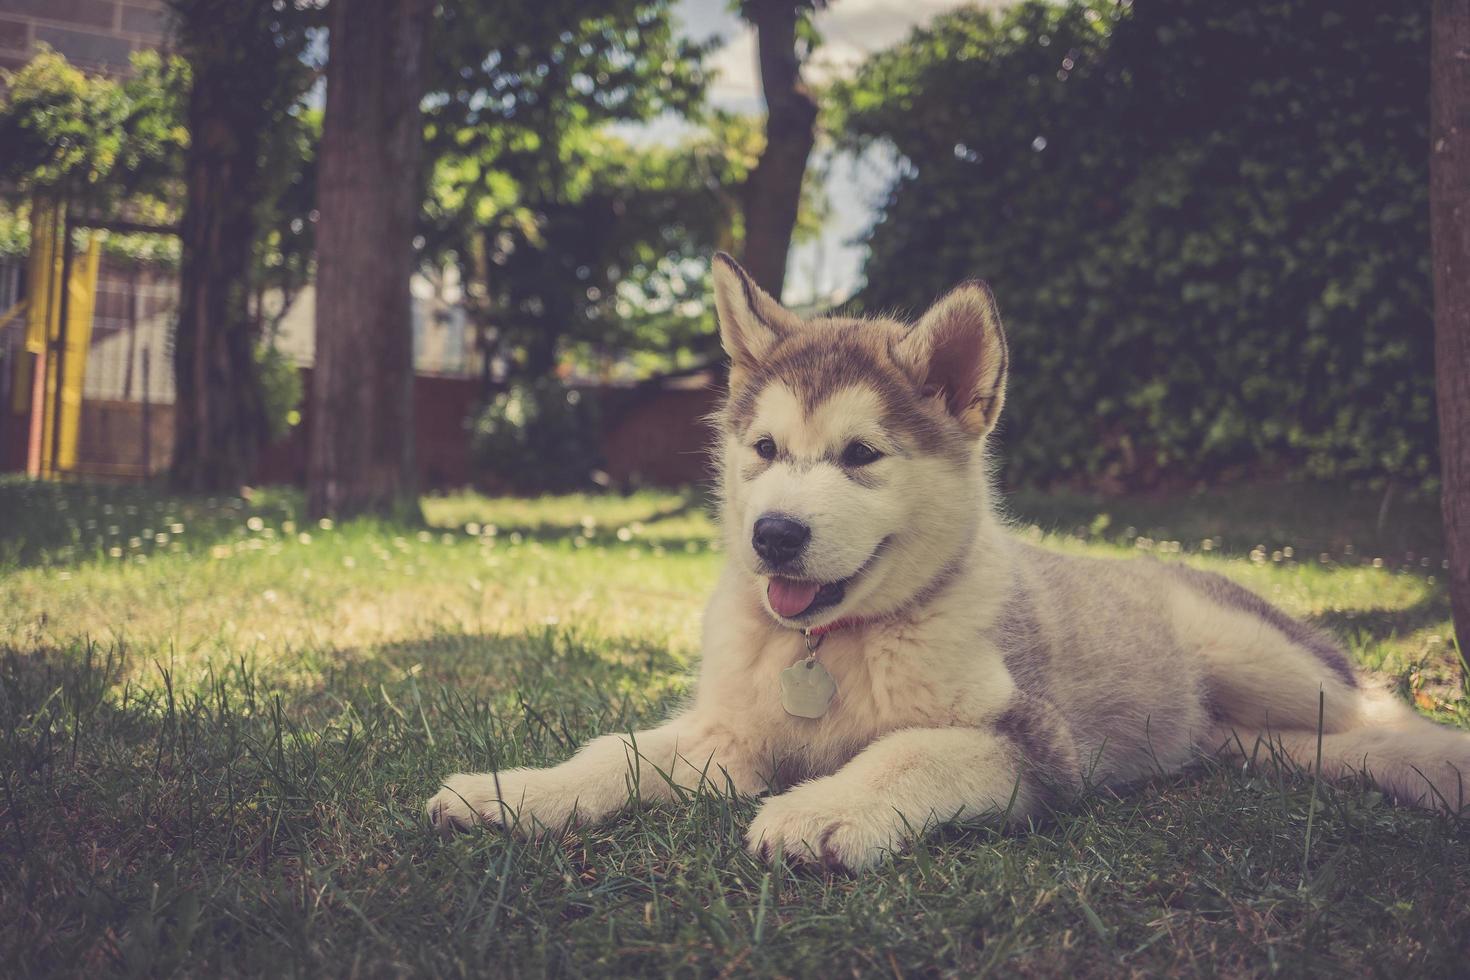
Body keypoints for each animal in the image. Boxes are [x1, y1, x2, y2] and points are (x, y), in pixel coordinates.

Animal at [429, 252, 1470, 875]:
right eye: (764, 450)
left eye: (860, 455)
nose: (774, 536)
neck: (838, 646)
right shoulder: (730, 735)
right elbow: (619, 750)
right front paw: (516, 793)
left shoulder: (1035, 743)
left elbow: (908, 749)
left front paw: (820, 809)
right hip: (1246, 732)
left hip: (1264, 656)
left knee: (1374, 703)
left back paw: (1440, 764)